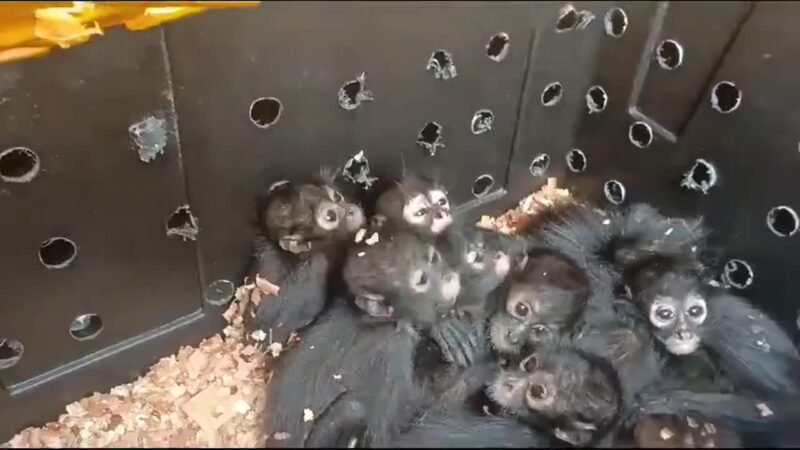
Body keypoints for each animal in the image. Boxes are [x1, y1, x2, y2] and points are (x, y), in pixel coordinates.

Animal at [262, 228, 462, 448]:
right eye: (422, 280)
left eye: (434, 258)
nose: (449, 278)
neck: (379, 320)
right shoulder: (392, 353)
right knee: (353, 409)